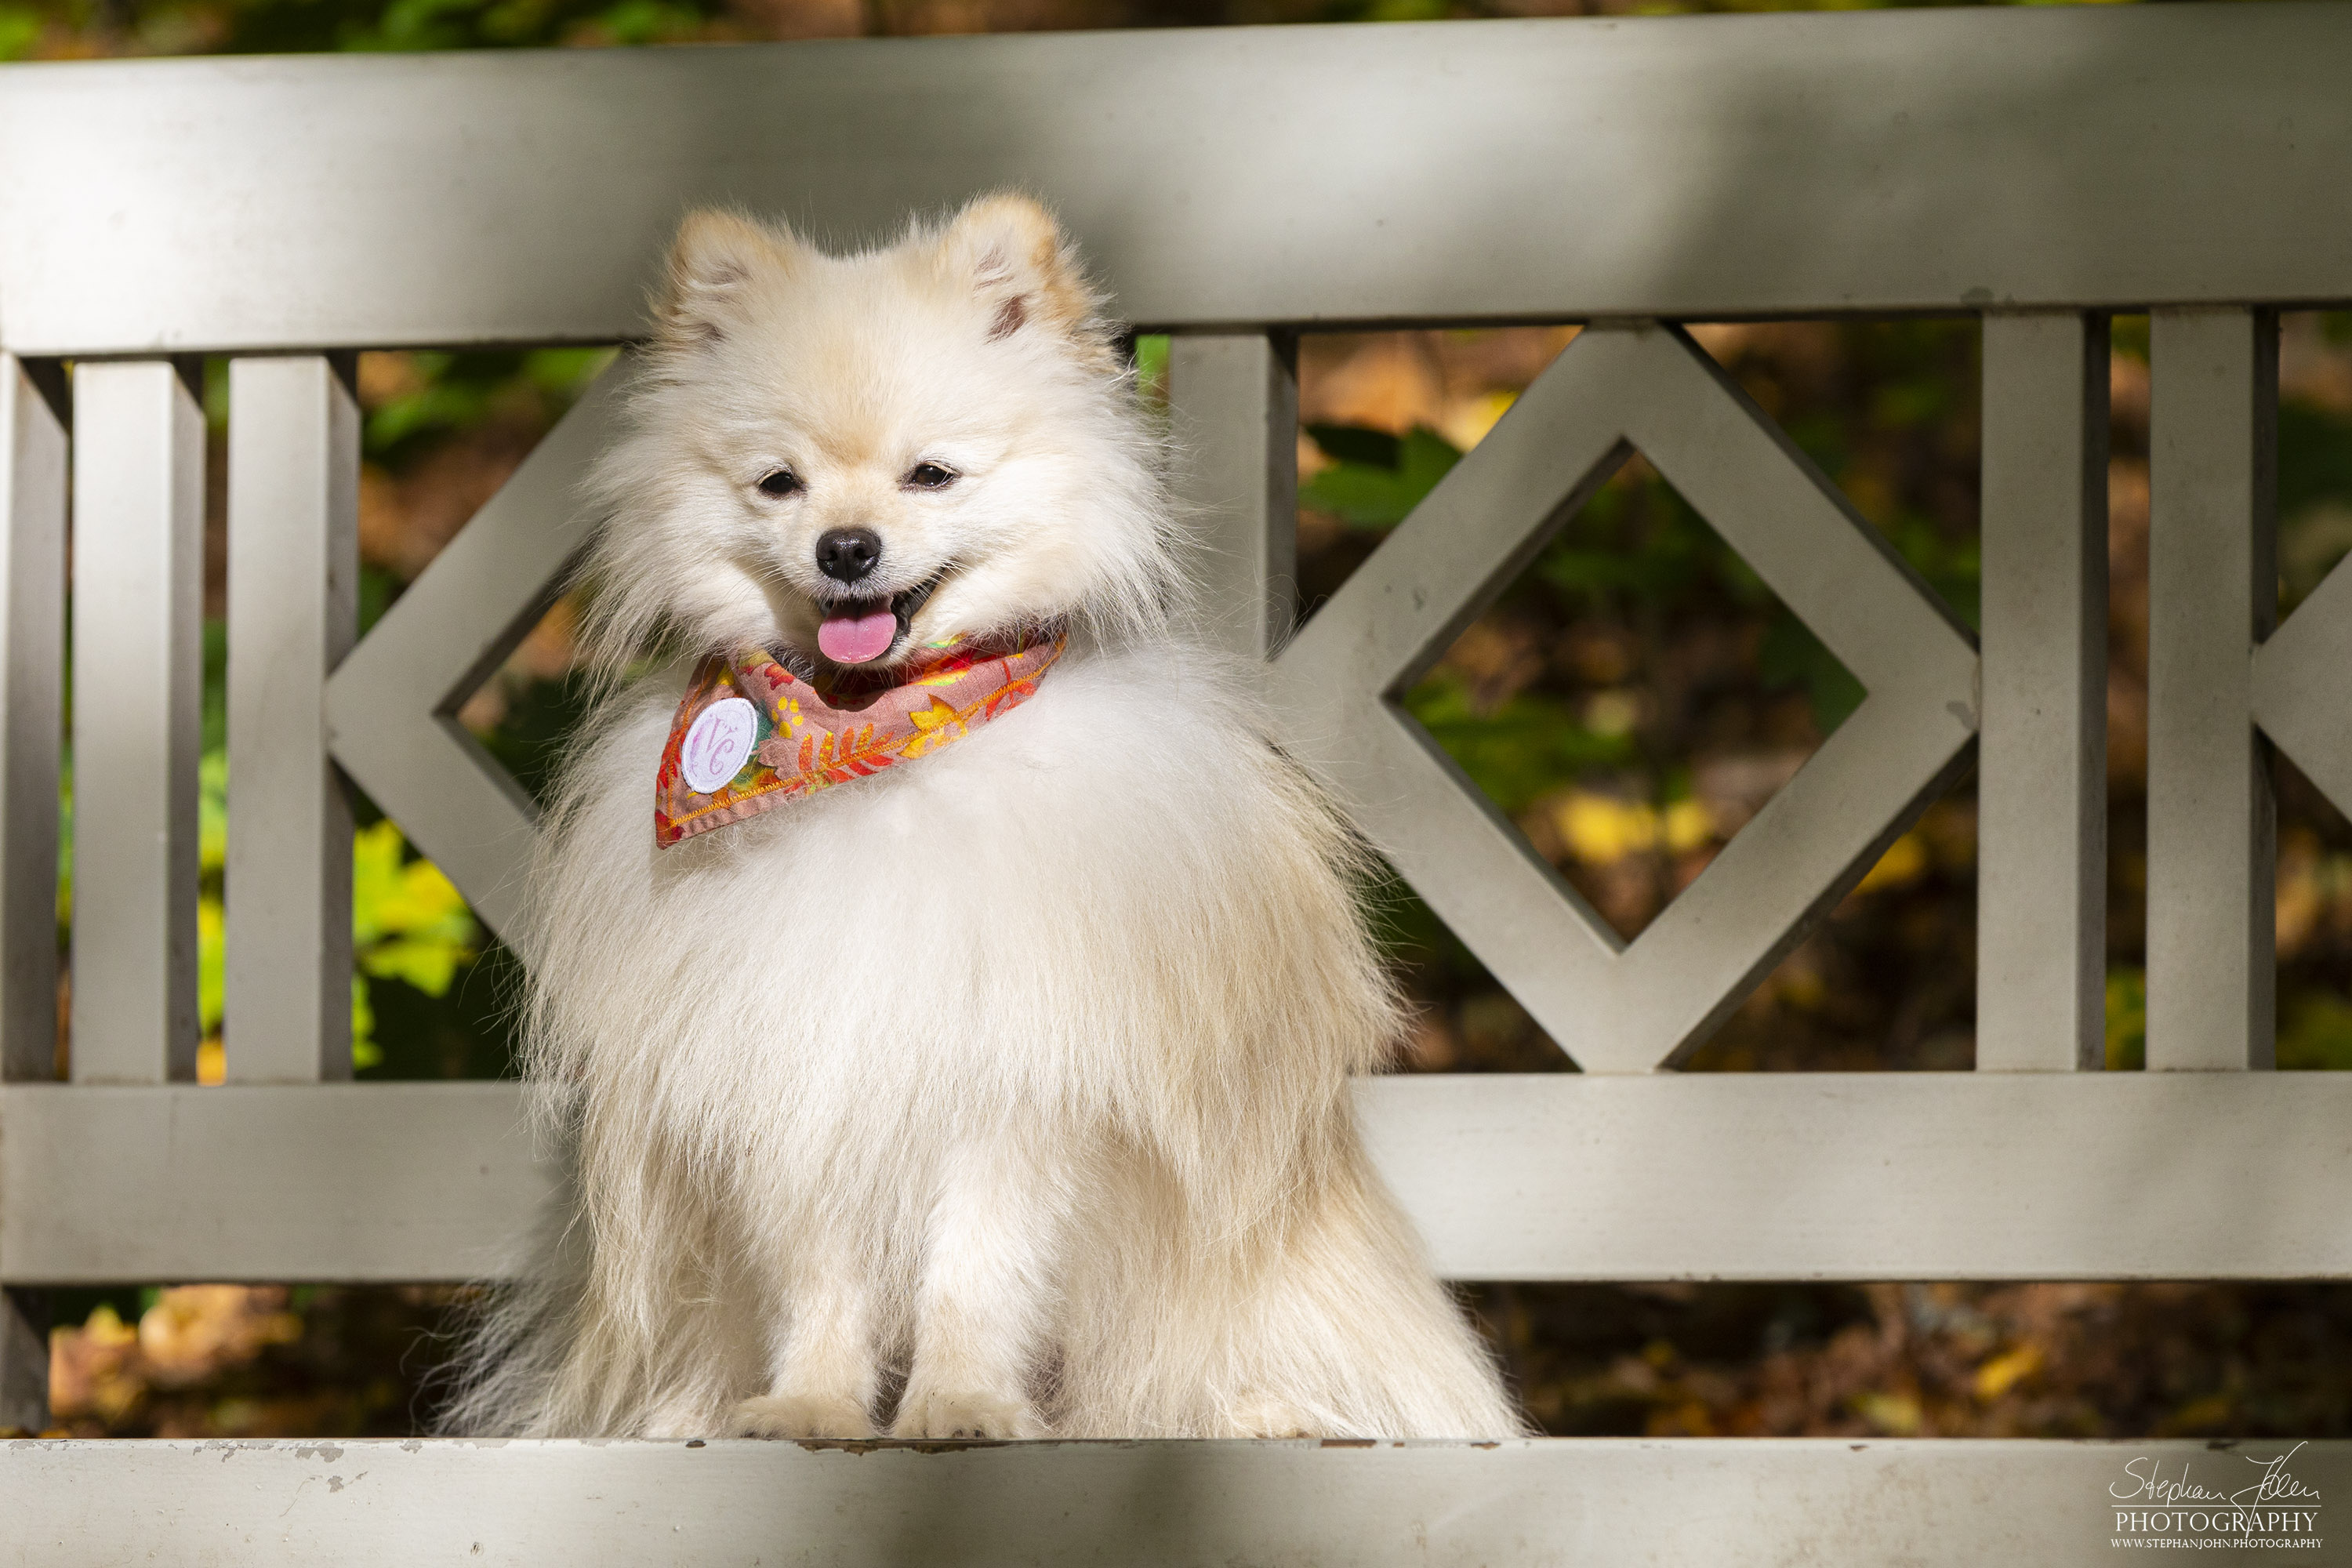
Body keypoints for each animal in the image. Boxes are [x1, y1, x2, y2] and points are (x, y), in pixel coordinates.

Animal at [454, 190, 1524, 1439]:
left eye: (932, 475)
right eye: (779, 484)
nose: (847, 548)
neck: (873, 746)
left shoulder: (1010, 1090)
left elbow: (976, 1274)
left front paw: (961, 1404)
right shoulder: (802, 1073)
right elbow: (822, 1281)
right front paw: (813, 1405)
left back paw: (1260, 1408)